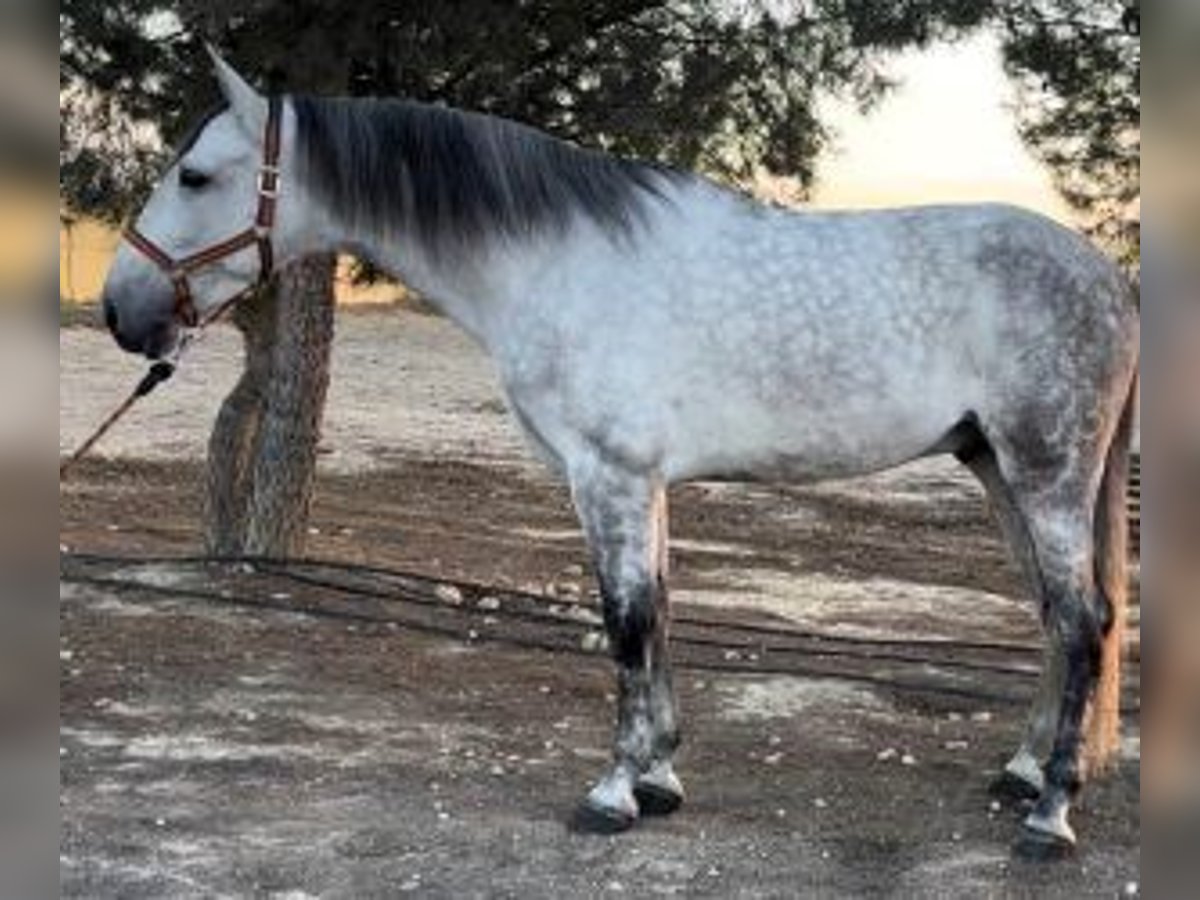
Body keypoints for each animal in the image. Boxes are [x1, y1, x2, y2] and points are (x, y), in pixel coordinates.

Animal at [100, 50, 1139, 855]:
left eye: (196, 177)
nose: (119, 311)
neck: (558, 261)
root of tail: (1108, 278)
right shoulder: (644, 485)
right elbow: (662, 612)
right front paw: (660, 777)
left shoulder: (609, 477)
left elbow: (627, 622)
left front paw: (611, 795)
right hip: (997, 468)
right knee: (1057, 616)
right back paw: (1023, 772)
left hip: (1046, 473)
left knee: (1084, 621)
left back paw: (1049, 816)